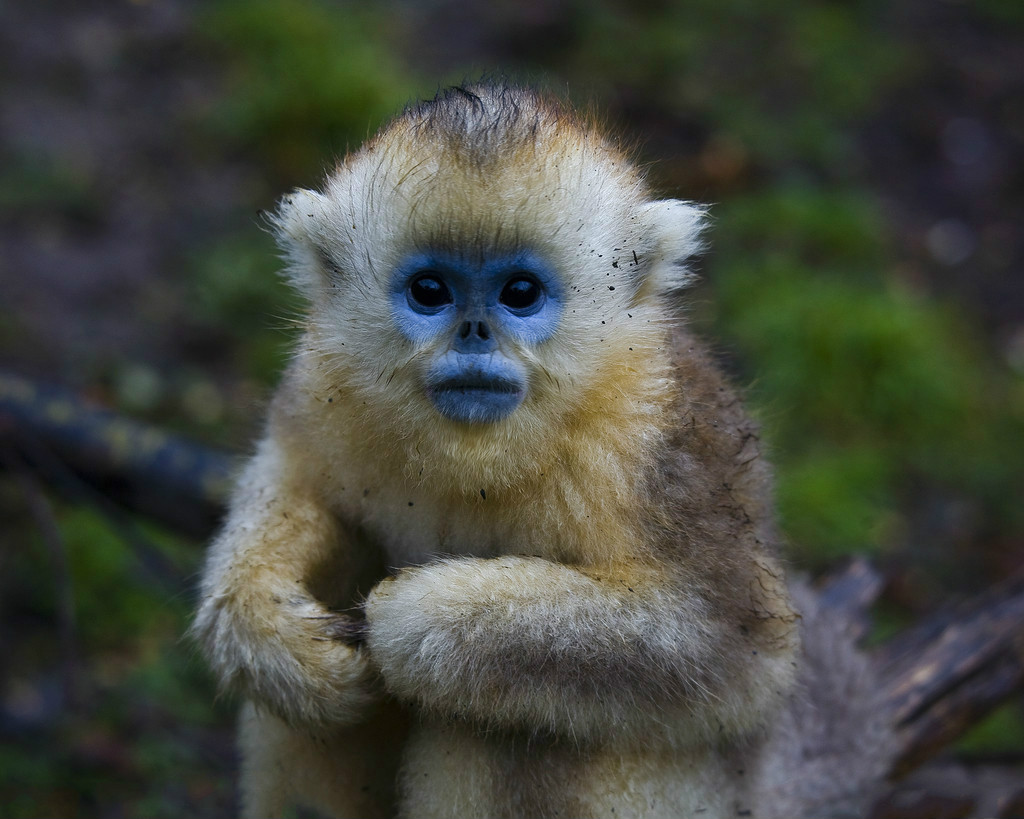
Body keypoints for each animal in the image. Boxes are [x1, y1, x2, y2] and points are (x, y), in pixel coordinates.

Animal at [190, 84, 798, 818]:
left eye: (519, 293)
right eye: (430, 291)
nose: (475, 333)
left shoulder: (656, 442)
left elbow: (735, 654)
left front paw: (417, 622)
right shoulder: (321, 382)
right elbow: (293, 476)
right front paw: (266, 632)